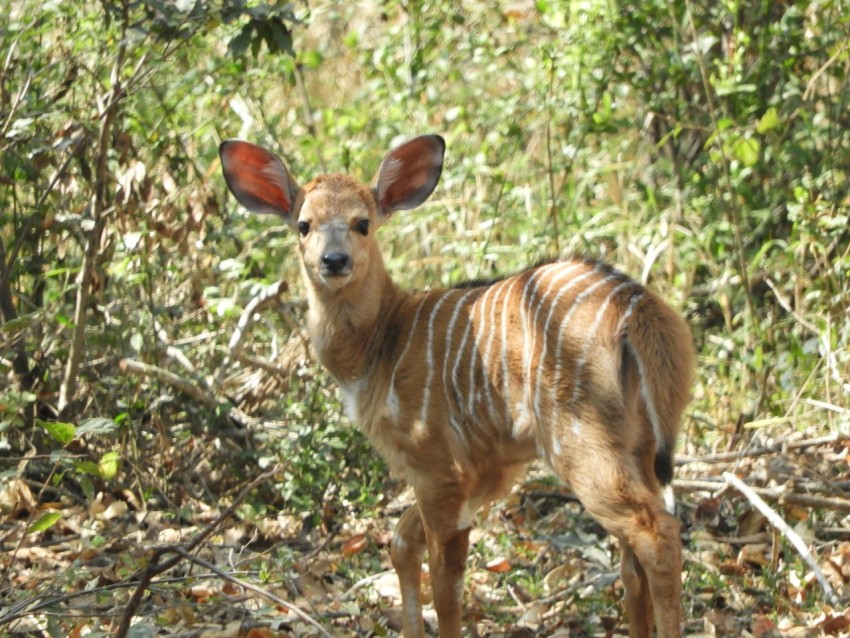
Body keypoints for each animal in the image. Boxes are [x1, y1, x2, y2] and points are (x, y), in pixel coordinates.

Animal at [219, 134, 694, 638]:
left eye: (363, 223)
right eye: (304, 225)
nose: (334, 260)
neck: (381, 345)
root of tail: (639, 307)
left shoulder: (440, 468)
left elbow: (447, 588)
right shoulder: (482, 472)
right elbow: (401, 542)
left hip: (582, 442)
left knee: (657, 533)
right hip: (638, 445)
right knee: (632, 561)